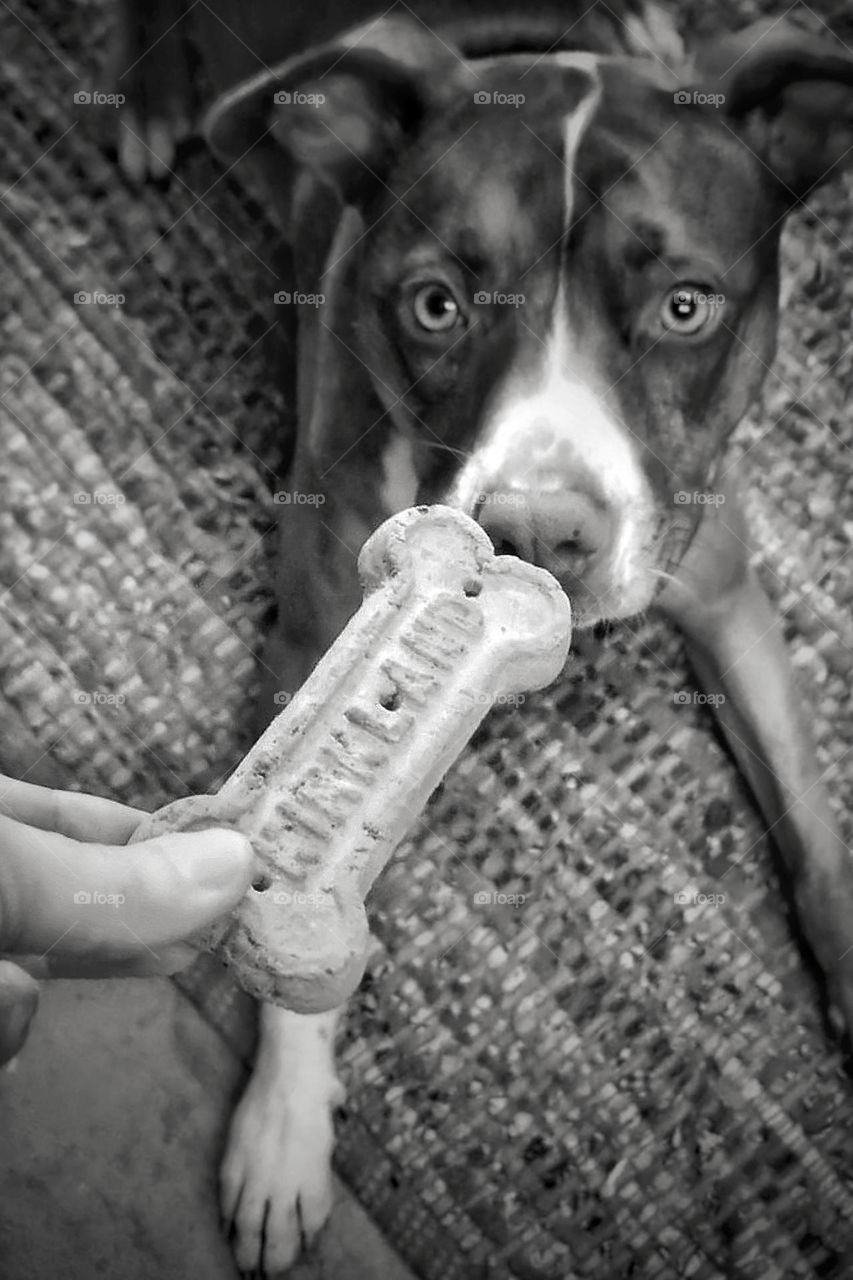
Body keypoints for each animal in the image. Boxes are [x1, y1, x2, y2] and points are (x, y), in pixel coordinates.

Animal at [112, 5, 850, 1274]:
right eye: (435, 305)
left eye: (685, 305)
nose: (537, 534)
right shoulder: (318, 636)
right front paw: (285, 1131)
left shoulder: (723, 585)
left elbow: (810, 815)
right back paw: (155, 104)